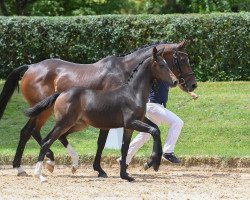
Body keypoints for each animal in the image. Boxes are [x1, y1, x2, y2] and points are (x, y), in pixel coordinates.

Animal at [0, 40, 196, 177]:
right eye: (182, 59)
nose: (192, 85)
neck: (126, 73)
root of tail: (30, 67)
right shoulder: (111, 118)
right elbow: (102, 142)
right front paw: (101, 169)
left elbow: (149, 130)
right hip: (46, 111)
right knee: (30, 132)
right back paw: (28, 166)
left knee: (34, 132)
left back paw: (48, 161)